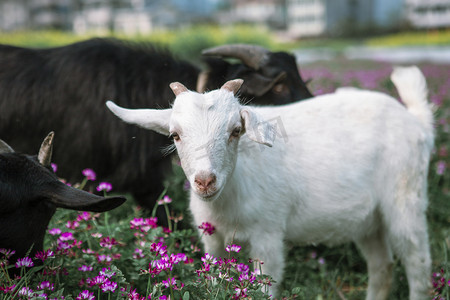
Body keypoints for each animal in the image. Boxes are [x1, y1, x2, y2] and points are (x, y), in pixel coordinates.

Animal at [107, 66, 434, 300]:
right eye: (175, 135)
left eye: (235, 130)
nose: (205, 181)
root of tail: (417, 121)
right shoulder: (212, 241)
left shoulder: (268, 234)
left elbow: (265, 288)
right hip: (369, 220)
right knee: (382, 266)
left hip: (405, 193)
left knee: (417, 261)